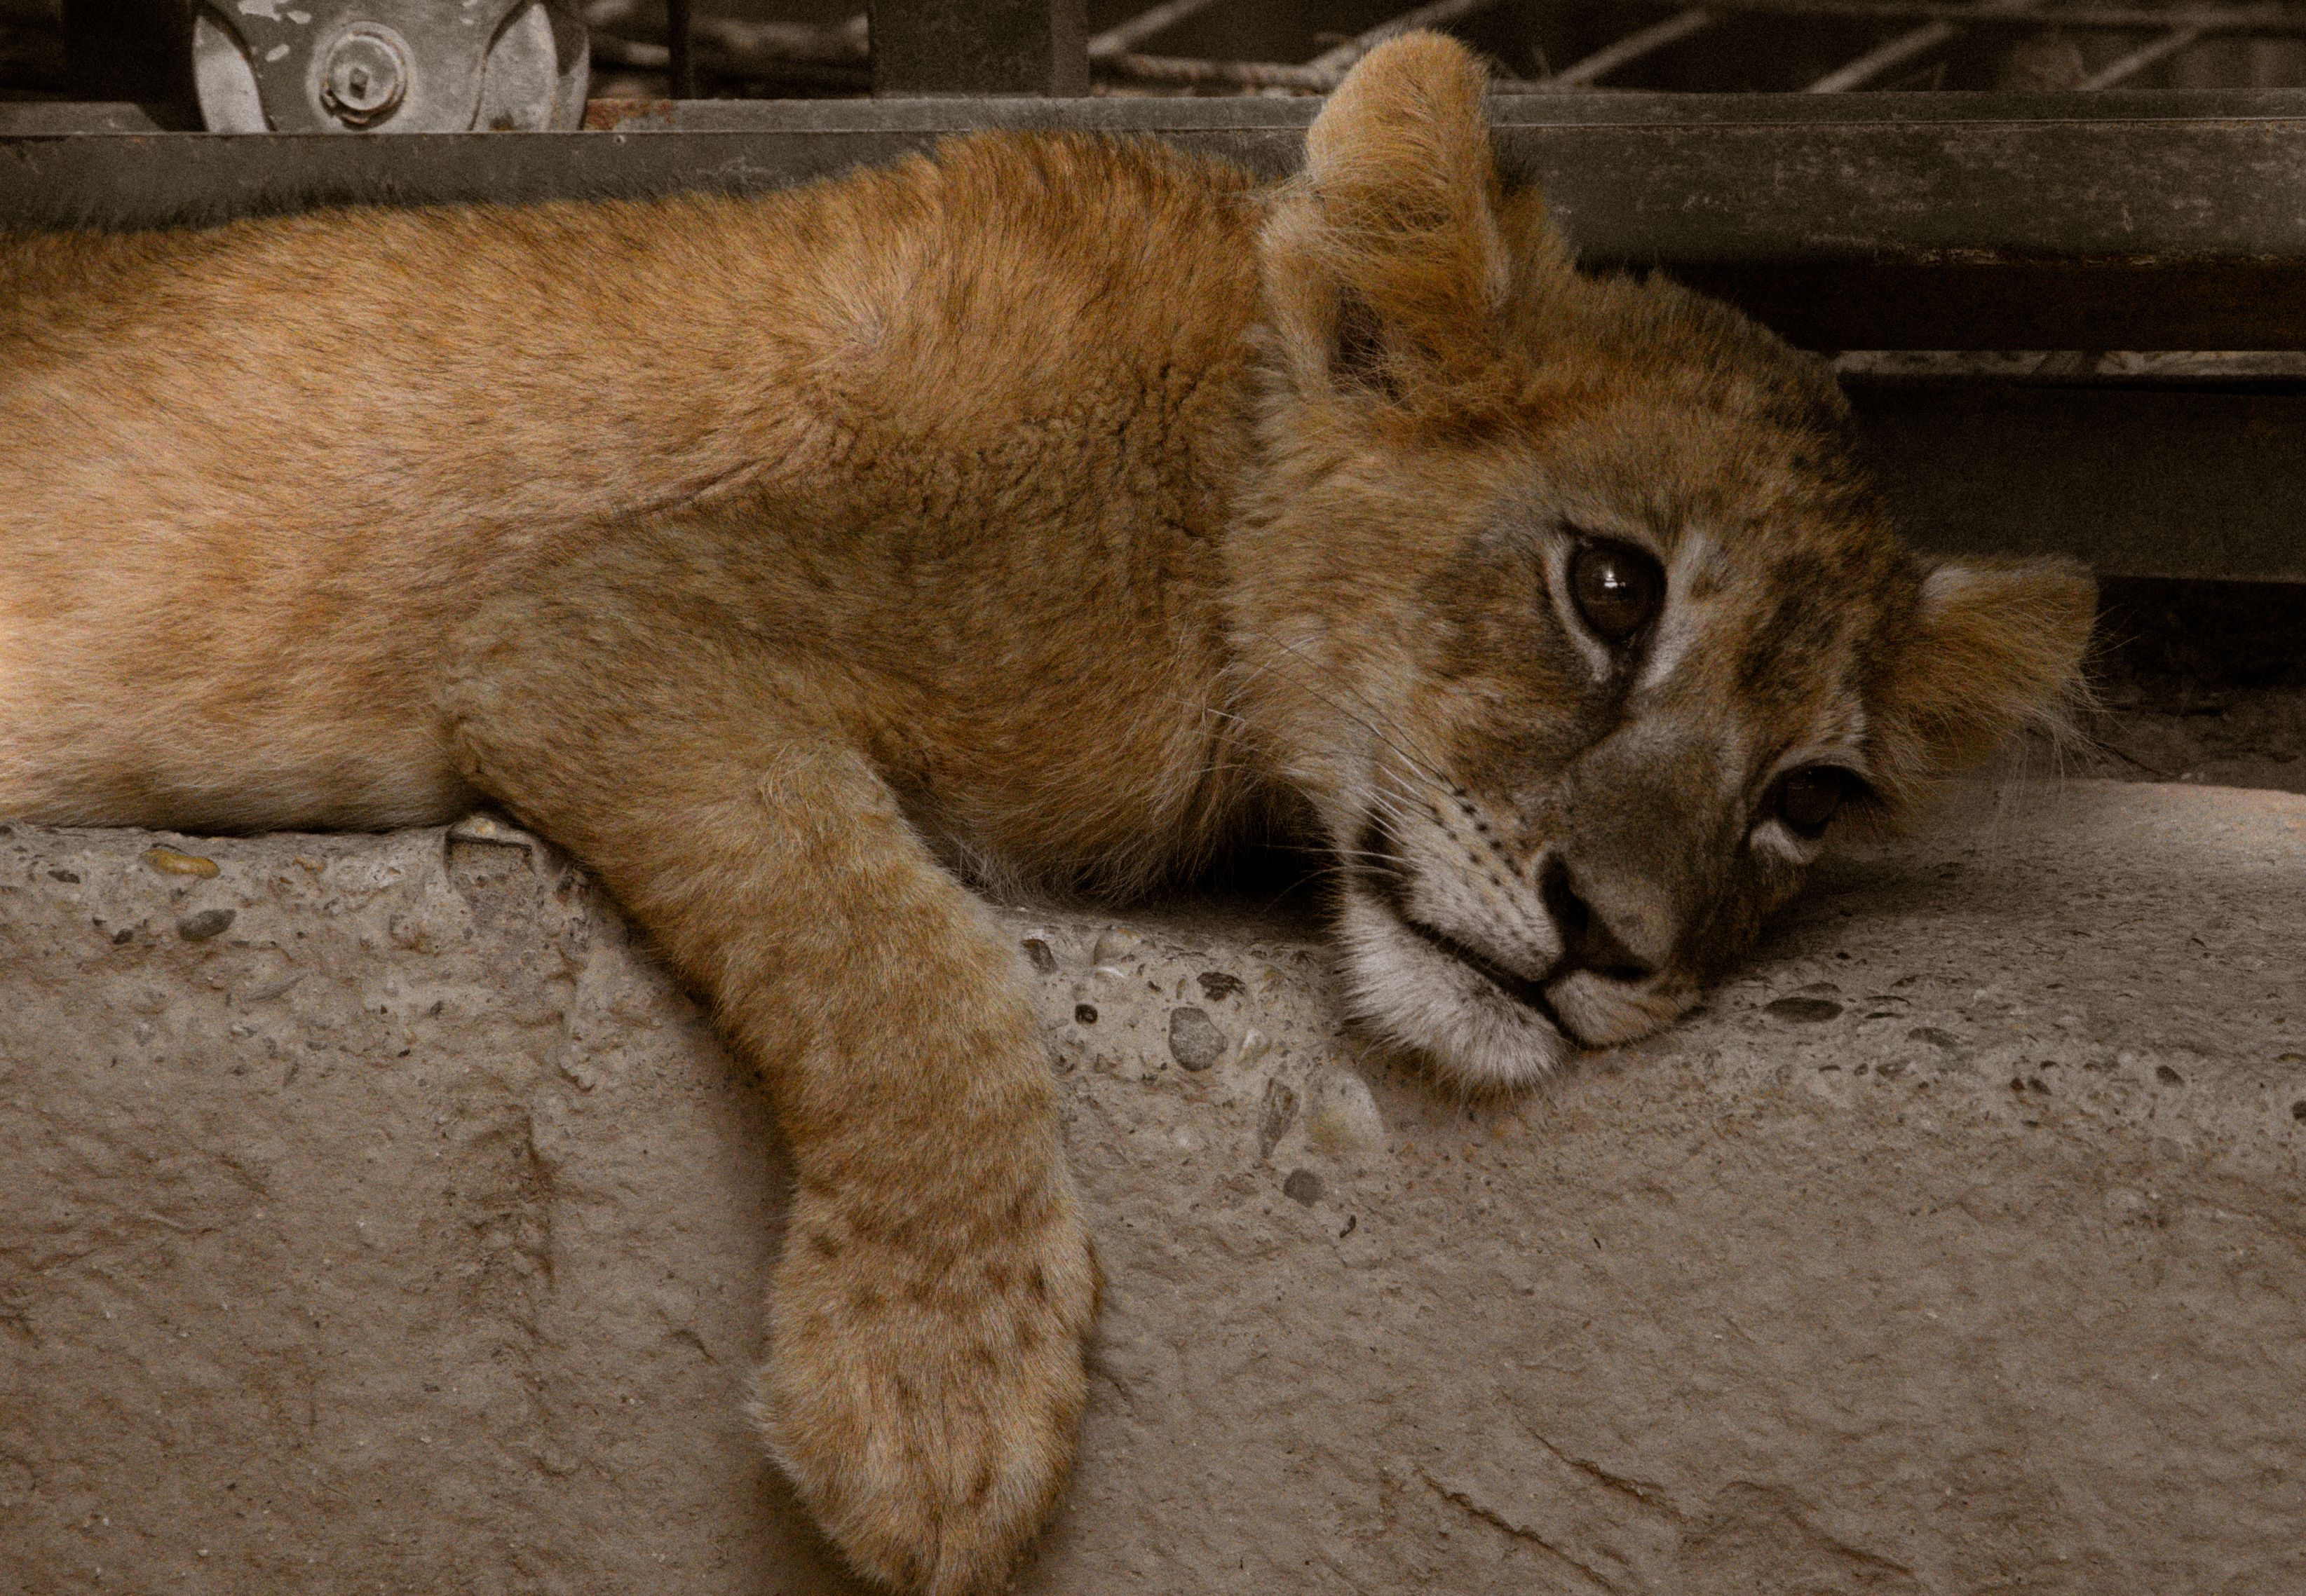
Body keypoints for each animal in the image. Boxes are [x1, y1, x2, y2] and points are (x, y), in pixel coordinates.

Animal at [0, 32, 2092, 1596]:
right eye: (1608, 589)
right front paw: (933, 1394)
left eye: (1807, 797)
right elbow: (893, 951)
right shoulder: (588, 621)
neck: (1210, 490)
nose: (1613, 946)